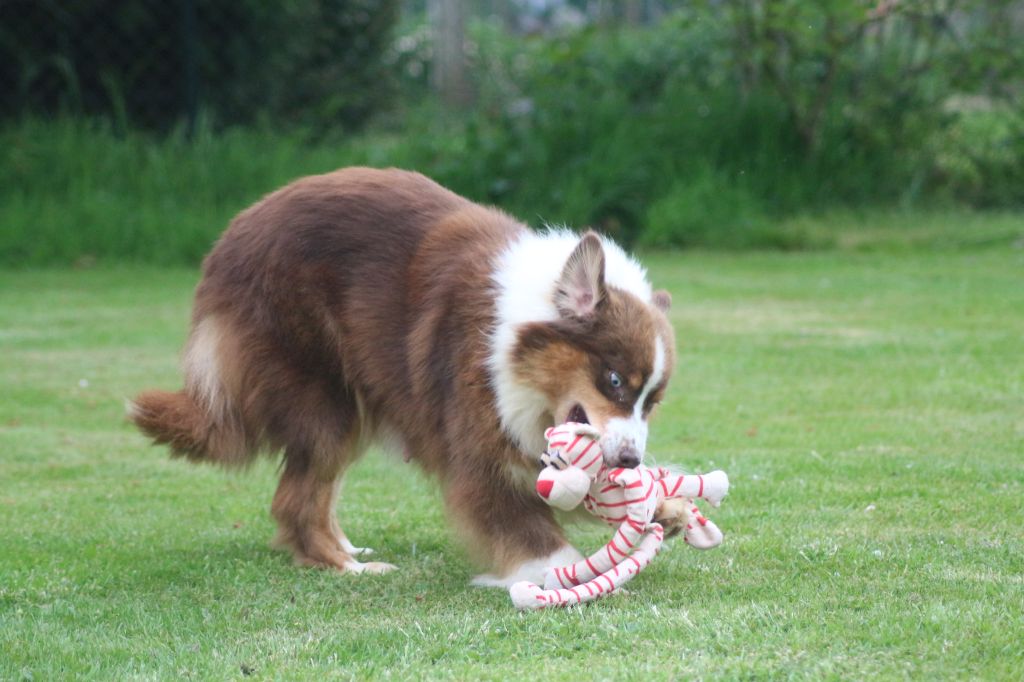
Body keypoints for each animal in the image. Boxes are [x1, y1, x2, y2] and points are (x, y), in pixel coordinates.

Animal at [132, 165, 675, 585]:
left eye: (651, 403)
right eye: (614, 381)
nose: (630, 460)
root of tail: (225, 245)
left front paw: (664, 506)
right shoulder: (477, 434)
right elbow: (517, 518)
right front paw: (566, 574)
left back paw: (346, 550)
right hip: (322, 394)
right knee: (294, 499)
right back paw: (343, 568)